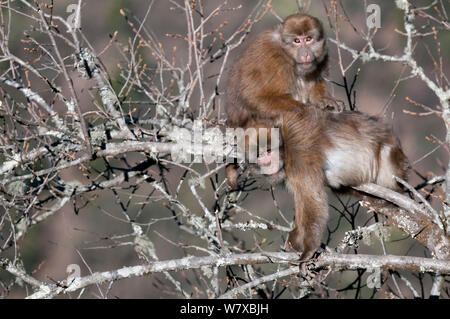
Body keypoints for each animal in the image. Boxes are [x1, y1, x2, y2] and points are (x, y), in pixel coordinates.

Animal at [225, 13, 342, 190]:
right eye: (297, 41)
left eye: (308, 39)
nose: (305, 53)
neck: (287, 55)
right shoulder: (272, 59)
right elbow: (253, 95)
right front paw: (308, 110)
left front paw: (325, 101)